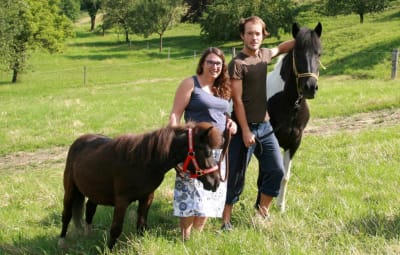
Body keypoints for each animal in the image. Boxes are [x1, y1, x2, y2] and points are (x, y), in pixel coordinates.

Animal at [57, 121, 222, 249]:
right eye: (208, 152)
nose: (216, 181)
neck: (143, 162)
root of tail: (79, 141)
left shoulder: (147, 198)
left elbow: (142, 226)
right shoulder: (122, 201)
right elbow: (116, 229)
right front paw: (109, 249)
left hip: (95, 192)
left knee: (90, 209)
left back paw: (87, 235)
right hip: (70, 190)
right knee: (67, 214)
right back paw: (62, 241)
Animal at [268, 22, 324, 212]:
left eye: (319, 53)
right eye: (297, 53)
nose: (310, 87)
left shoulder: (294, 141)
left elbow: (284, 176)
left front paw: (280, 206)